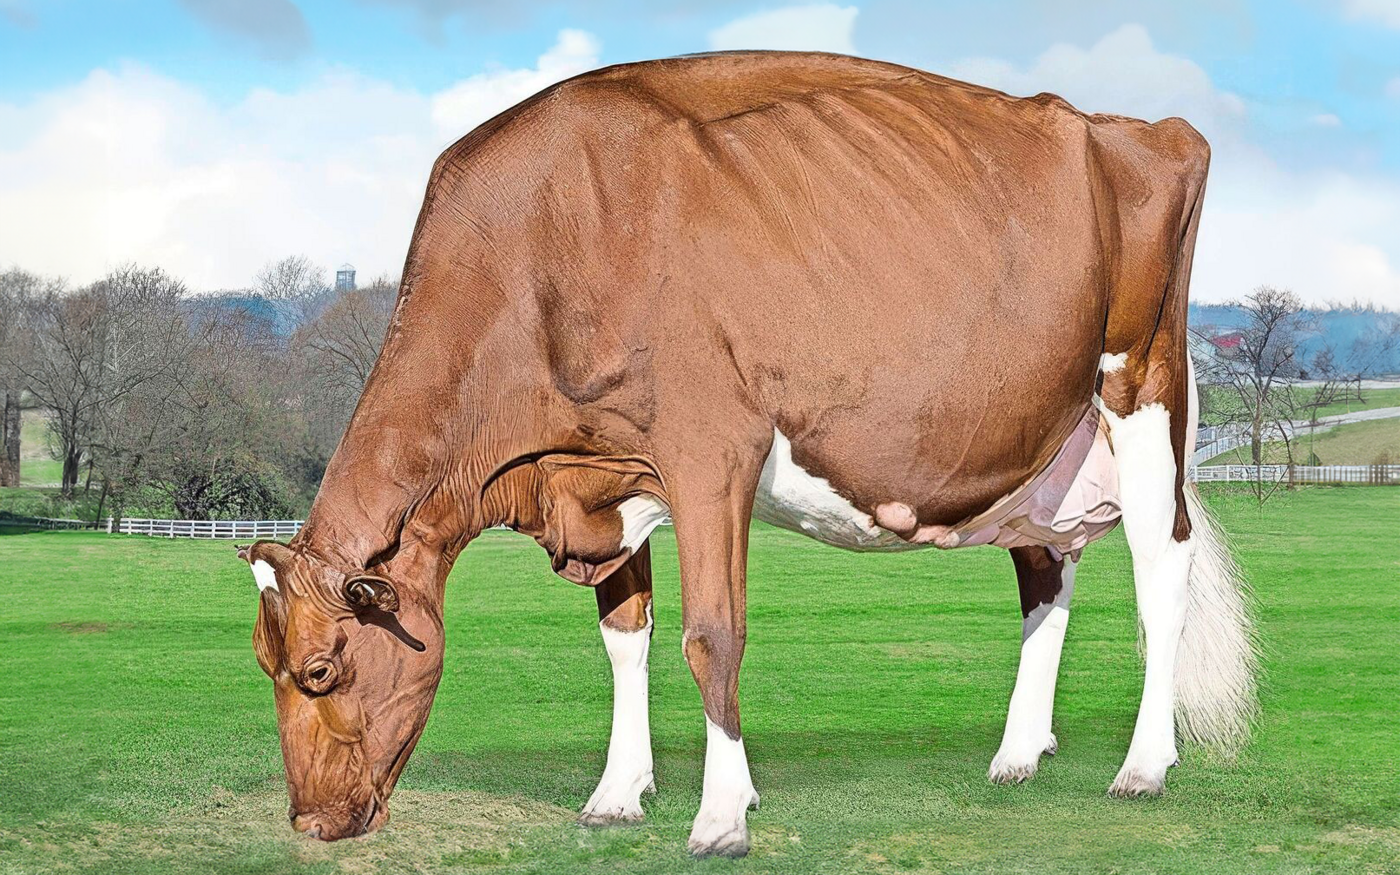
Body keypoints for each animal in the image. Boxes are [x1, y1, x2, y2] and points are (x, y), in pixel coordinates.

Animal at [236, 51, 1257, 858]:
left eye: (320, 670)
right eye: (263, 664)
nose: (310, 823)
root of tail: (1140, 125)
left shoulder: (710, 448)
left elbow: (711, 634)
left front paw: (721, 815)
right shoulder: (611, 473)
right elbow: (626, 636)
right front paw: (616, 795)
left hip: (1141, 386)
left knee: (1160, 569)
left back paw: (1143, 765)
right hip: (1040, 438)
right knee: (1046, 572)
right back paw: (1016, 755)